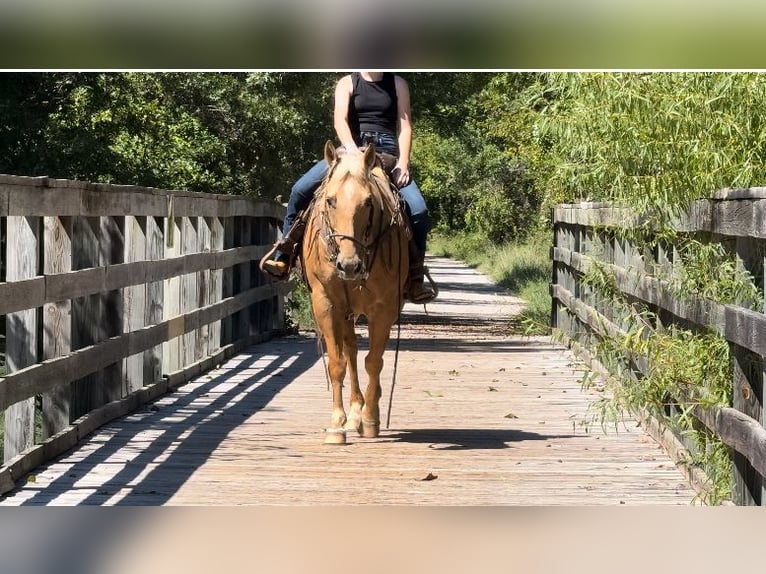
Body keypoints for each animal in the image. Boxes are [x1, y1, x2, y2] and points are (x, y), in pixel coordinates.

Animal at [300, 141, 412, 446]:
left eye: (368, 202)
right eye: (330, 201)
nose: (349, 266)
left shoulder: (384, 308)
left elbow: (374, 361)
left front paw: (371, 419)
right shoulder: (326, 303)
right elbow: (337, 363)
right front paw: (337, 425)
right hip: (345, 312)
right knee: (349, 350)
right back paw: (352, 414)